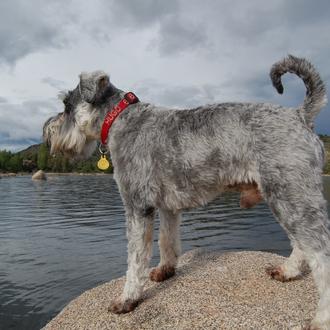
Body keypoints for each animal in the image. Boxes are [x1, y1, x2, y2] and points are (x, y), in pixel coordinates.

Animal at [43, 55, 330, 328]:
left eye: (67, 105)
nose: (47, 133)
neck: (119, 119)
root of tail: (300, 115)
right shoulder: (167, 207)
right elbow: (167, 240)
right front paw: (164, 271)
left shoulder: (137, 206)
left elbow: (135, 259)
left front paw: (127, 299)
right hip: (288, 199)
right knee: (301, 245)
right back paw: (288, 271)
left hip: (291, 197)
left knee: (320, 254)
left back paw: (321, 319)